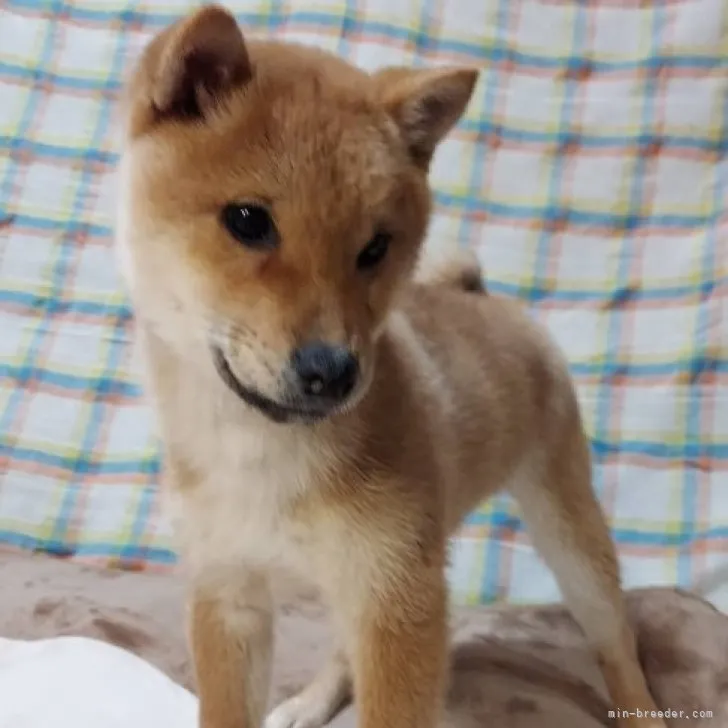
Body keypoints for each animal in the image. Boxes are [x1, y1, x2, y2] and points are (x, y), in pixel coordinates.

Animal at [116, 5, 668, 728]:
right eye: (247, 221)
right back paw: (312, 701)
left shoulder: (397, 598)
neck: (259, 452)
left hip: (567, 531)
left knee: (615, 641)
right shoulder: (228, 590)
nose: (333, 370)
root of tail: (482, 297)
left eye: (376, 248)